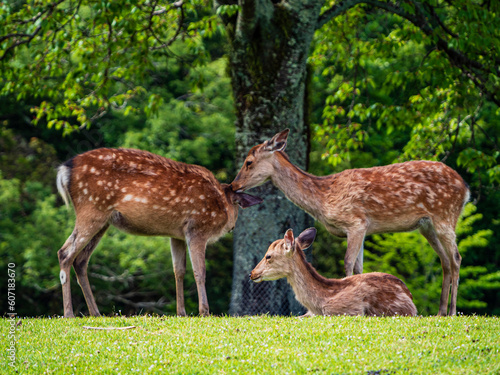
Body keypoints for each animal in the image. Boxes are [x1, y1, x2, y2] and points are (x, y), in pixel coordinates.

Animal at [56, 148, 264, 318]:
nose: (232, 226)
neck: (221, 202)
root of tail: (64, 170)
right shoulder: (197, 228)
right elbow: (199, 271)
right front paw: (204, 311)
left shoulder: (177, 234)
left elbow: (179, 270)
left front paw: (181, 312)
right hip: (91, 208)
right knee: (64, 253)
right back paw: (69, 314)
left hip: (103, 220)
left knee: (80, 260)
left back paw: (95, 313)